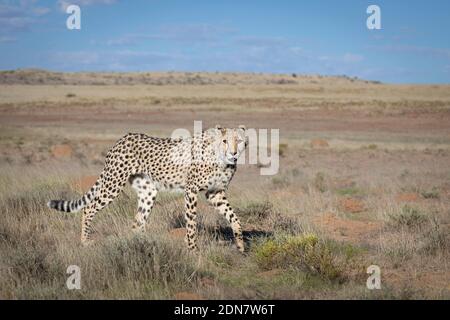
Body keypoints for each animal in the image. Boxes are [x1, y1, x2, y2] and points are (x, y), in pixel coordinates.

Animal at [47, 125, 248, 252]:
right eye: (225, 141)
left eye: (239, 140)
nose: (233, 152)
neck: (221, 158)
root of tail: (123, 138)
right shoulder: (191, 191)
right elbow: (191, 223)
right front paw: (192, 249)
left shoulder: (215, 193)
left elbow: (234, 218)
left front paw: (241, 246)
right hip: (113, 184)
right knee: (89, 208)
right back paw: (85, 241)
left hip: (148, 192)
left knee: (137, 223)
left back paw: (142, 245)